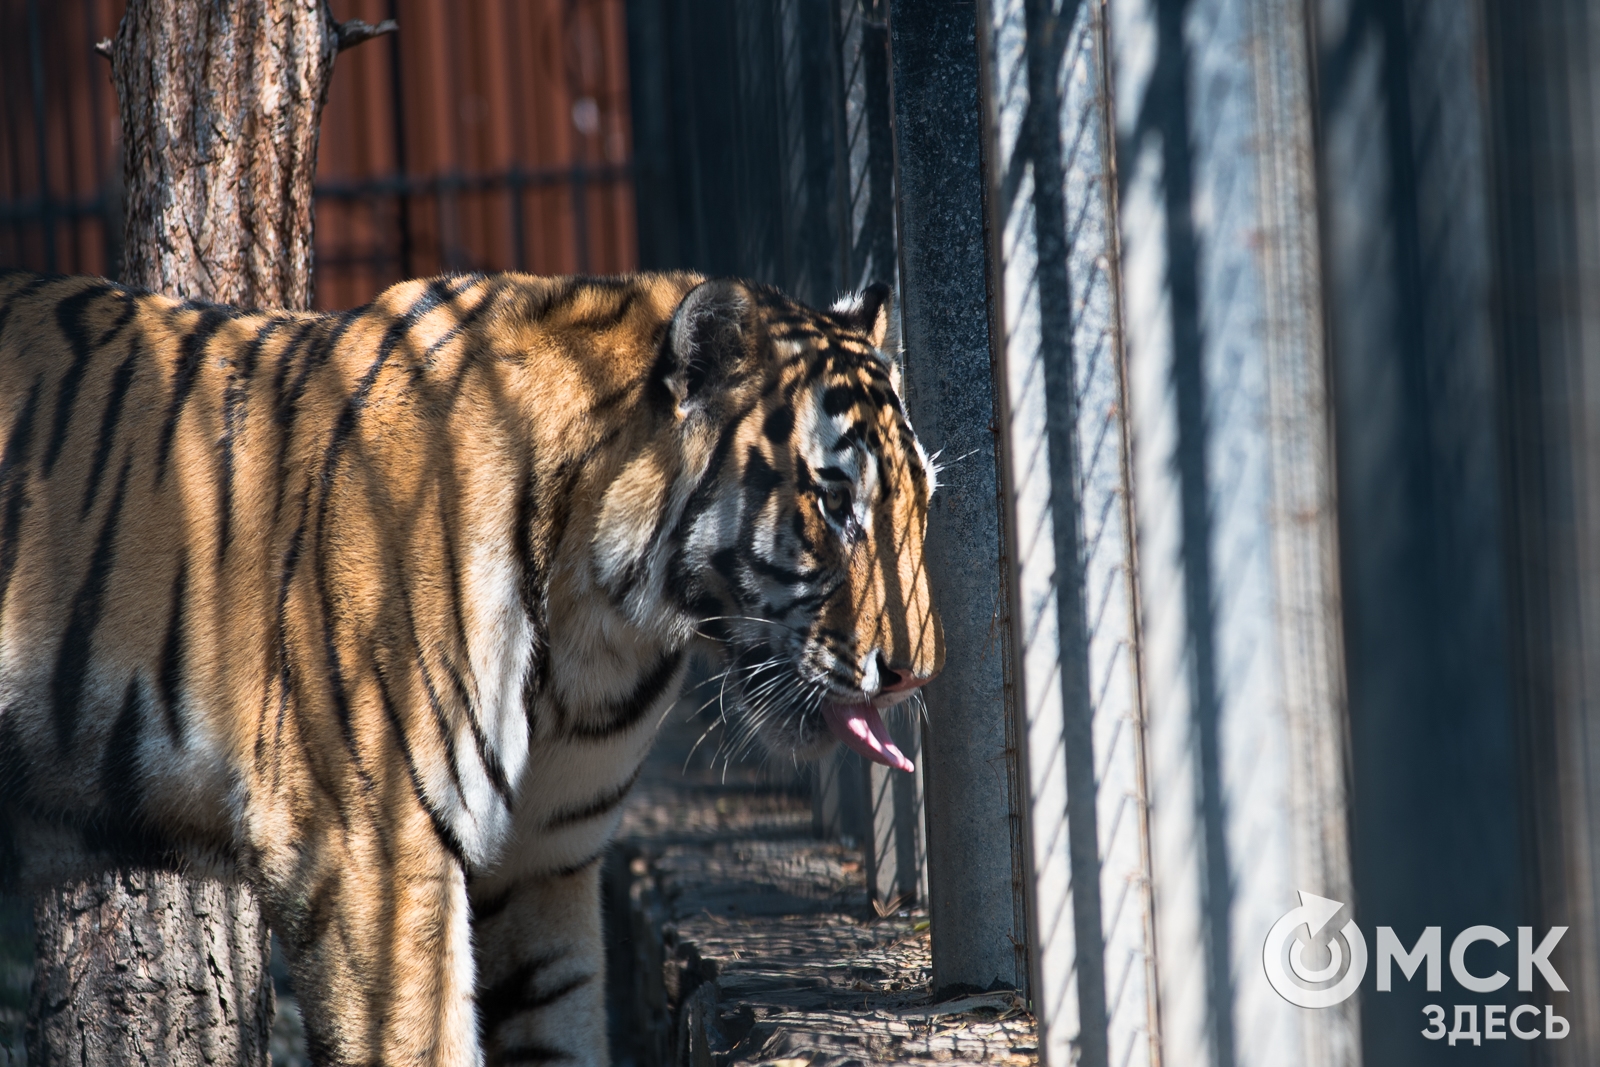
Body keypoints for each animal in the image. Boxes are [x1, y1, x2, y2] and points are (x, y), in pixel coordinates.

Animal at [0, 271, 940, 1067]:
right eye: (834, 501)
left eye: (922, 500)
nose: (916, 674)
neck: (598, 627)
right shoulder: (369, 847)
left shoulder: (545, 858)